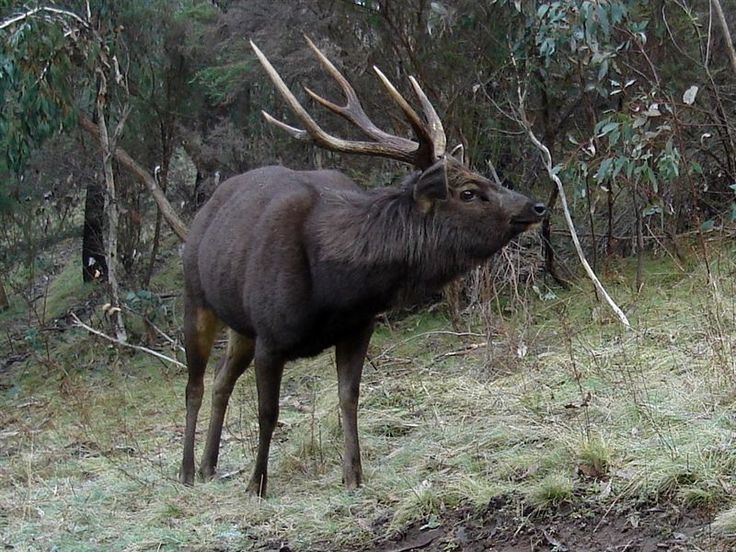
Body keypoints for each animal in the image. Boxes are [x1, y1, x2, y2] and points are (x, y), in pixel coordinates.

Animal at [179, 38, 548, 496]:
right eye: (468, 192)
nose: (536, 206)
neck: (337, 288)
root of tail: (205, 208)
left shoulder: (358, 326)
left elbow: (349, 397)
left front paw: (353, 475)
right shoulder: (271, 334)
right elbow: (269, 412)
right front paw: (256, 486)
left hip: (240, 326)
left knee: (220, 381)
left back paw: (210, 465)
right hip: (197, 298)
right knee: (194, 385)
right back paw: (188, 471)